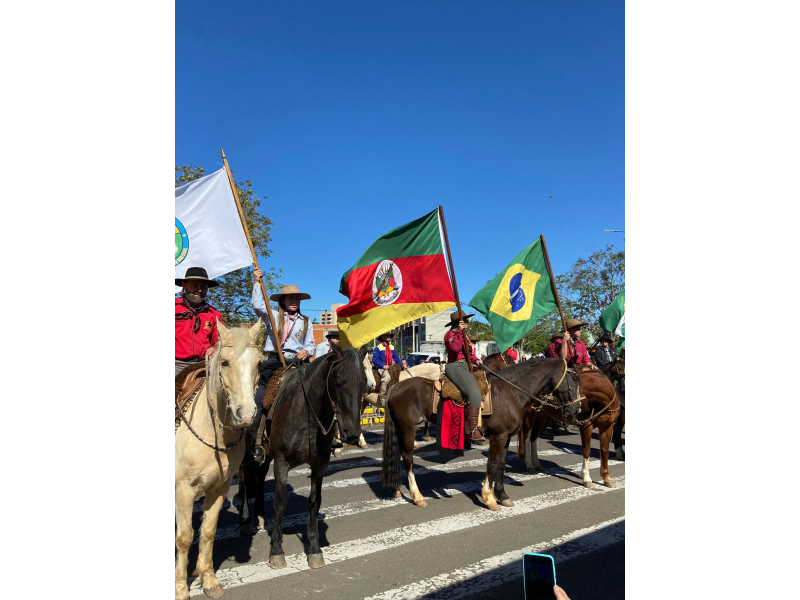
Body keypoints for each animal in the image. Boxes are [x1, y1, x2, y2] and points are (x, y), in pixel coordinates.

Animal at [177, 322, 260, 596]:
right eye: (224, 362)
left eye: (259, 362)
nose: (246, 415)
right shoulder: (183, 489)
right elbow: (185, 537)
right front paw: (180, 589)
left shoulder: (219, 489)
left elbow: (208, 531)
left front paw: (209, 580)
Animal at [234, 344, 366, 568]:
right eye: (339, 382)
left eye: (365, 384)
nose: (352, 434)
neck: (308, 414)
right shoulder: (281, 462)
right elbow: (280, 503)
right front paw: (276, 551)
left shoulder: (320, 464)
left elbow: (314, 502)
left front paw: (314, 548)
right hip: (246, 455)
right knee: (244, 482)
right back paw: (245, 521)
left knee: (260, 478)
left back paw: (260, 514)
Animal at [382, 356, 580, 510]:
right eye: (574, 379)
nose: (576, 411)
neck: (511, 390)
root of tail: (395, 387)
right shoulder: (498, 437)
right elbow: (492, 464)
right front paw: (489, 498)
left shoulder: (506, 438)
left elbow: (501, 464)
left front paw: (503, 496)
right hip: (408, 429)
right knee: (407, 458)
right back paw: (417, 496)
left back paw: (396, 490)